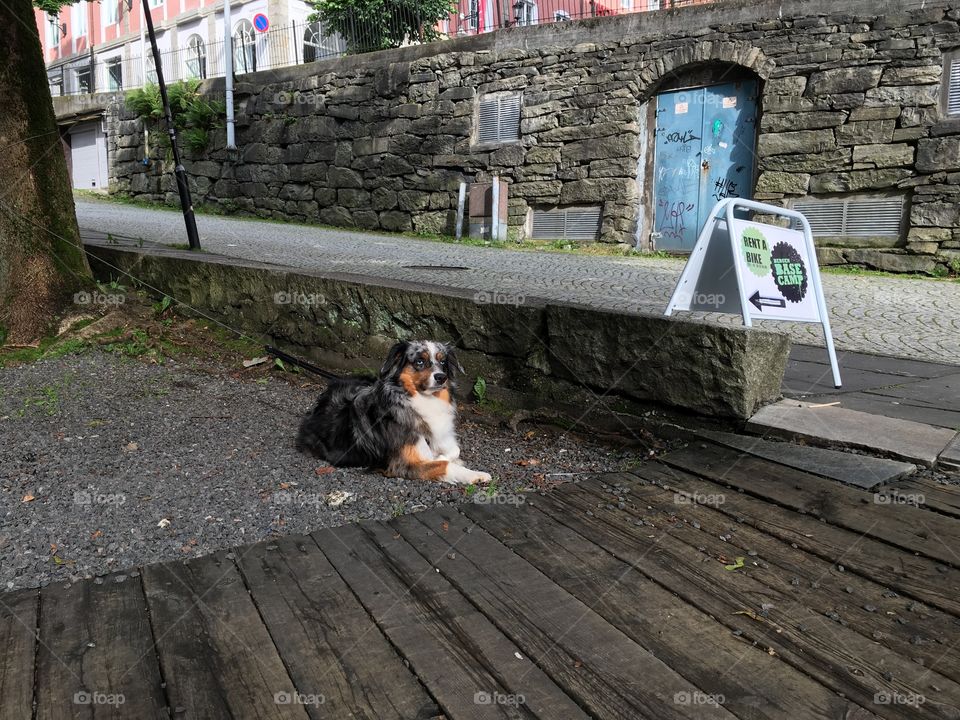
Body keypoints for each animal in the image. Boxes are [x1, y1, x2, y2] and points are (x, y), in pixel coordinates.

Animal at [294, 340, 492, 486]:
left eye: (442, 362)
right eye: (419, 361)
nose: (441, 377)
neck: (423, 400)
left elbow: (454, 450)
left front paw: (444, 456)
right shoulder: (403, 464)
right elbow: (444, 464)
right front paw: (476, 474)